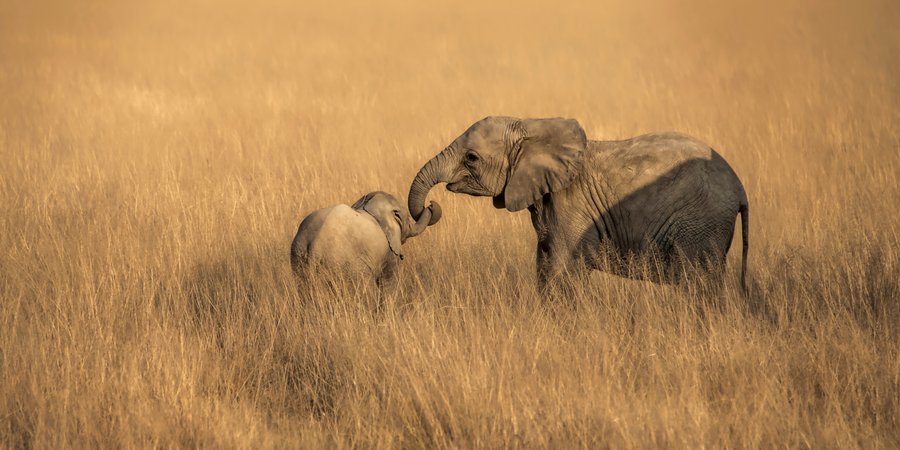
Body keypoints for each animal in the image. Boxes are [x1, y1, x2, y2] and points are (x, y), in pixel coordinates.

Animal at [291, 191, 441, 288]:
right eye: (407, 219)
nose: (431, 204)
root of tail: (315, 245)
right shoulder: (389, 253)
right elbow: (388, 282)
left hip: (298, 256)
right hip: (347, 266)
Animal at [408, 116, 749, 294]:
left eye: (472, 158)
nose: (431, 207)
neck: (530, 127)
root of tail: (740, 188)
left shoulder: (571, 205)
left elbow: (561, 269)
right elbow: (545, 263)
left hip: (700, 223)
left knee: (697, 284)